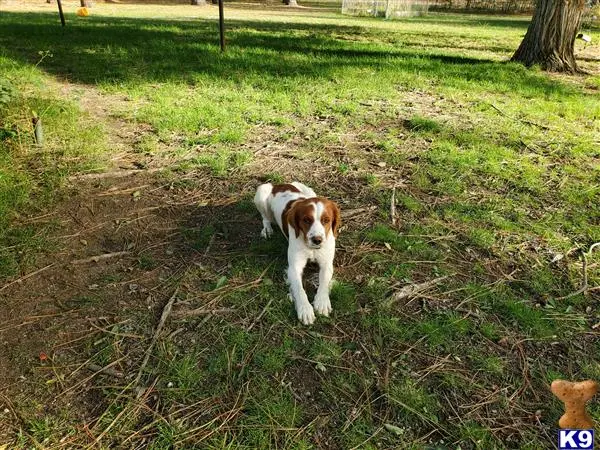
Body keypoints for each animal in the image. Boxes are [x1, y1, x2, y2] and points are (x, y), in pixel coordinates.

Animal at [253, 181, 340, 326]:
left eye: (326, 220)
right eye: (306, 220)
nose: (317, 240)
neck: (310, 247)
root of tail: (280, 185)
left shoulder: (326, 264)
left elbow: (324, 283)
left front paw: (322, 302)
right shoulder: (294, 267)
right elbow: (299, 289)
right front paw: (305, 309)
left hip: (309, 190)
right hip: (262, 192)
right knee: (265, 218)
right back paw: (267, 229)